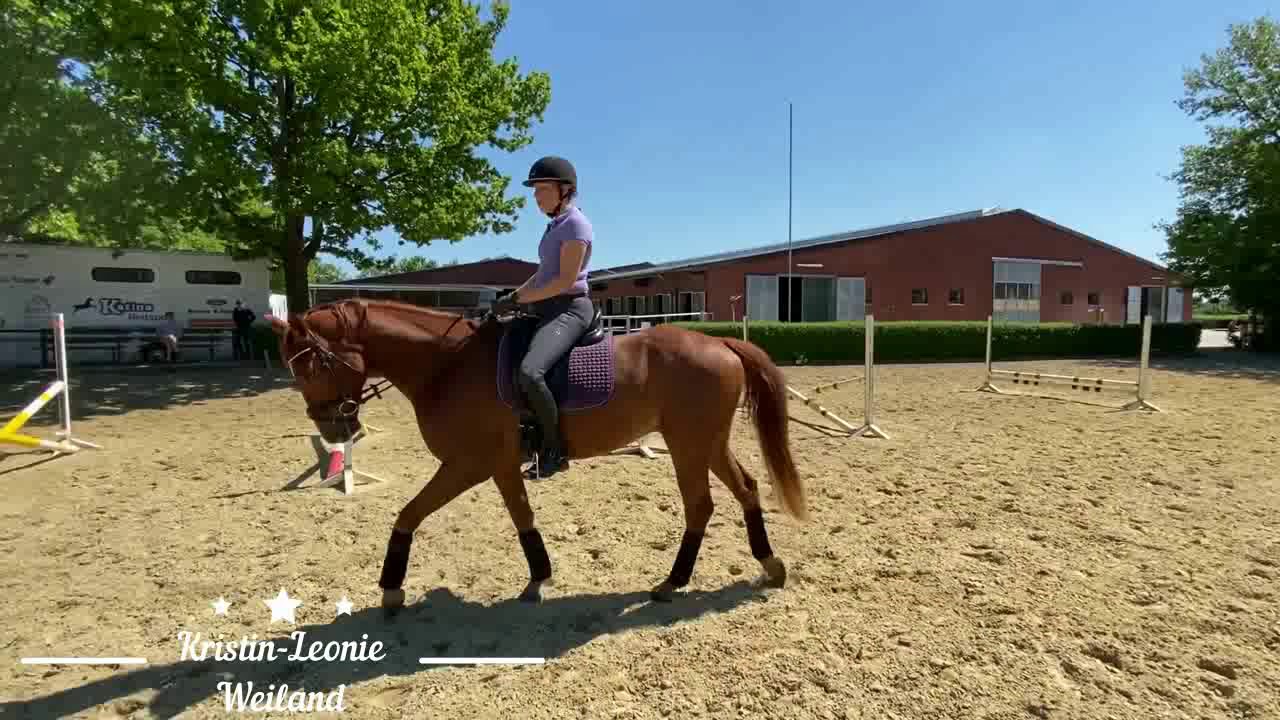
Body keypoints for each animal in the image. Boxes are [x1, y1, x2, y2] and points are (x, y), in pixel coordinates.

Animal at [267, 297, 808, 612]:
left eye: (311, 363)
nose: (333, 427)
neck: (447, 365)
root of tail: (719, 342)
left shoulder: (469, 464)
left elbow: (408, 514)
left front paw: (391, 589)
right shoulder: (499, 465)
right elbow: (521, 518)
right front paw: (538, 579)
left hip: (688, 444)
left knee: (701, 505)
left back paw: (674, 582)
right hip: (706, 442)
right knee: (745, 490)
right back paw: (768, 565)